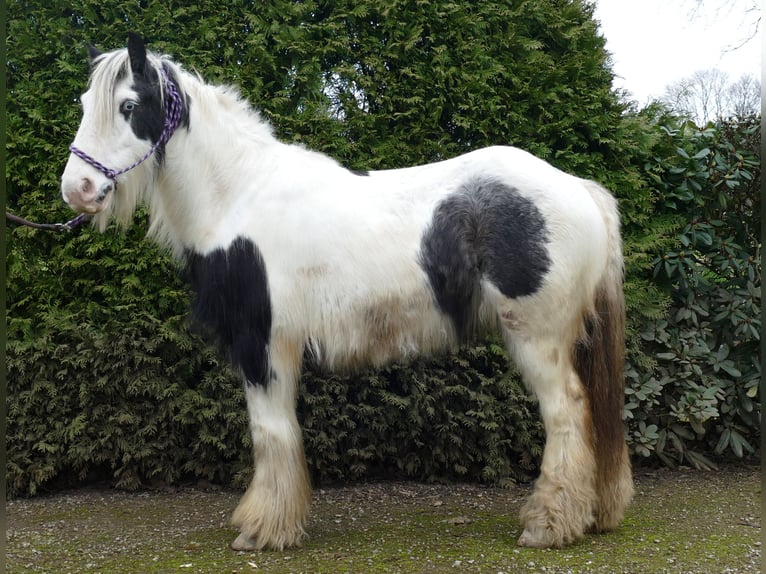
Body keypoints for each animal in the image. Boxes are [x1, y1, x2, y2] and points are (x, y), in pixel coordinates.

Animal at [61, 32, 636, 552]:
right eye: (85, 104)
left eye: (129, 106)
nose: (77, 190)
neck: (239, 194)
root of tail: (577, 188)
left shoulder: (263, 344)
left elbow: (270, 431)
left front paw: (263, 530)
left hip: (537, 338)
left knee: (566, 414)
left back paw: (548, 524)